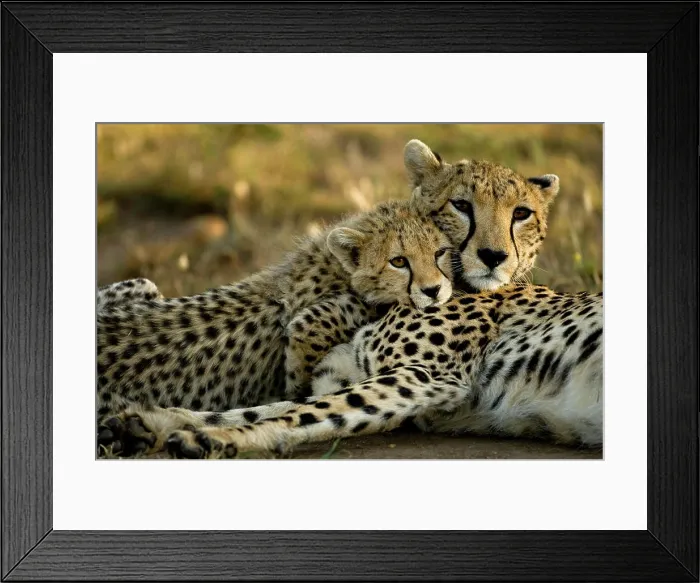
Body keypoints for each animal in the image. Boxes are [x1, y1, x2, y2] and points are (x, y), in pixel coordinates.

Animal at [97, 199, 454, 455]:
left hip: (144, 286)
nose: (433, 290)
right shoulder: (320, 318)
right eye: (399, 261)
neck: (335, 265)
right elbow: (304, 360)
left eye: (440, 252)